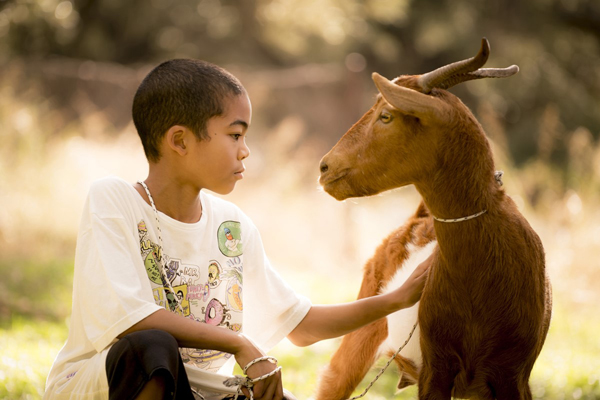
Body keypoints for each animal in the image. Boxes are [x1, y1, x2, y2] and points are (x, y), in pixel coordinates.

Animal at [316, 38, 552, 400]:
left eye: (386, 115)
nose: (326, 167)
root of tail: (417, 218)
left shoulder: (514, 375)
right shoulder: (436, 368)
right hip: (361, 328)